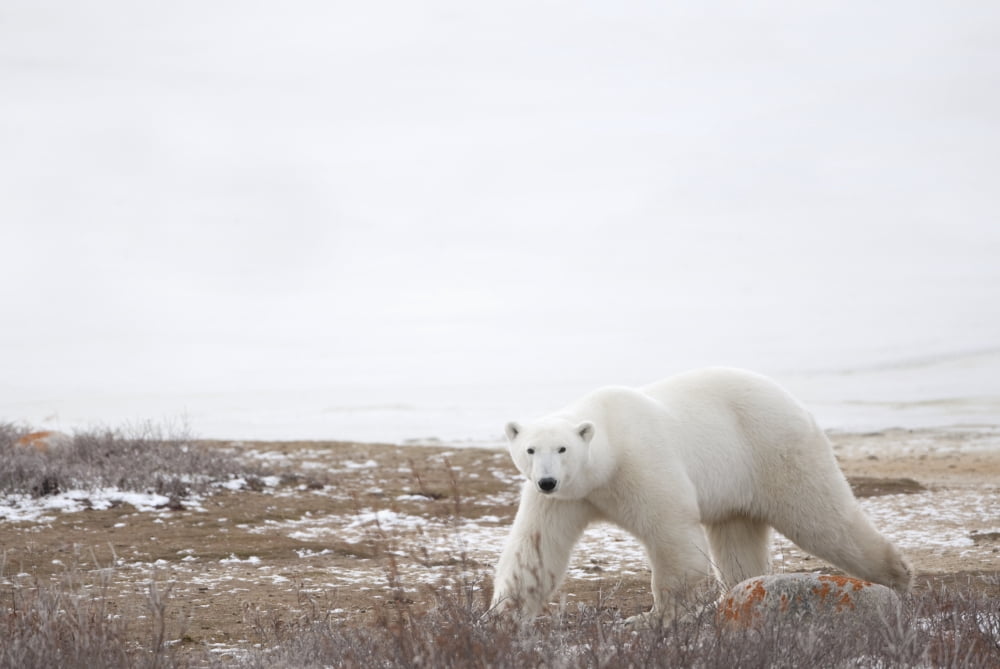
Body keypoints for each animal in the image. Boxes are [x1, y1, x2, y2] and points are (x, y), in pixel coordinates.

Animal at [490, 367, 912, 624]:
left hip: (775, 449)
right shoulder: (565, 499)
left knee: (823, 519)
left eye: (562, 448)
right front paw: (500, 615)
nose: (547, 480)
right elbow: (536, 550)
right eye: (530, 449)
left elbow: (672, 534)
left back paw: (897, 577)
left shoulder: (642, 464)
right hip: (739, 485)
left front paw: (656, 617)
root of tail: (789, 399)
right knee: (738, 542)